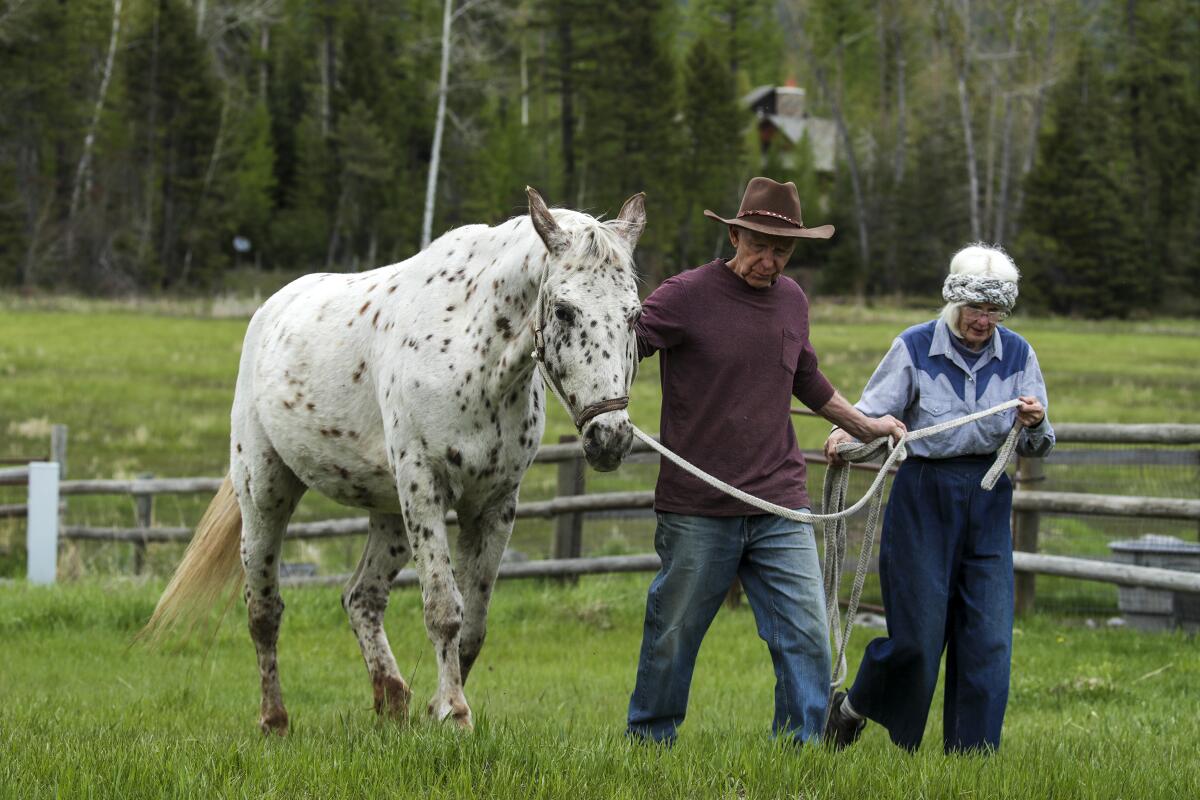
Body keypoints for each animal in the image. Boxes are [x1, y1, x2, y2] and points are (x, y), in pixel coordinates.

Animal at [141, 185, 648, 734]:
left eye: (635, 315)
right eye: (565, 312)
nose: (611, 438)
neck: (474, 356)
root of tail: (270, 312)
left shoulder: (494, 506)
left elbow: (474, 624)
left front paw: (438, 707)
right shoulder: (425, 488)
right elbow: (444, 610)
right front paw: (454, 712)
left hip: (389, 516)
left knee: (361, 597)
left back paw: (392, 699)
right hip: (266, 494)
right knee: (264, 610)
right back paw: (275, 719)